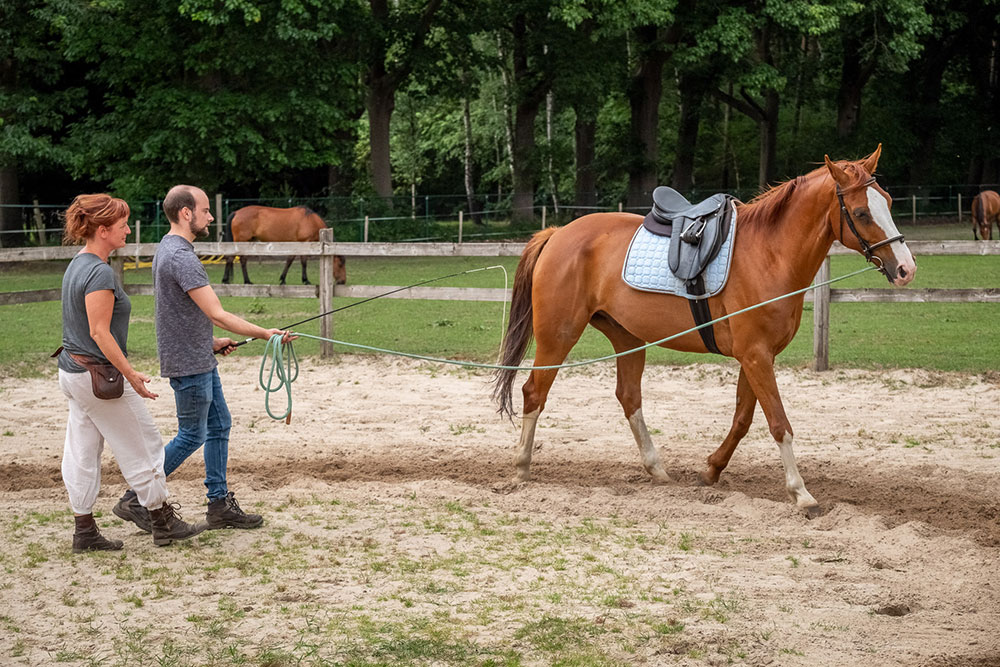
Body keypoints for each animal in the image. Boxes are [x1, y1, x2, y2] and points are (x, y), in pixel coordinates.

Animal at [490, 145, 916, 516]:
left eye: (889, 202)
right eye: (861, 212)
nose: (906, 269)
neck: (769, 254)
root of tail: (557, 233)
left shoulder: (756, 356)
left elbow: (743, 420)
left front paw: (711, 469)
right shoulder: (756, 356)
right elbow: (779, 423)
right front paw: (801, 493)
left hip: (628, 338)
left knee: (628, 397)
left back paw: (657, 470)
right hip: (558, 336)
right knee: (534, 392)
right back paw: (522, 467)